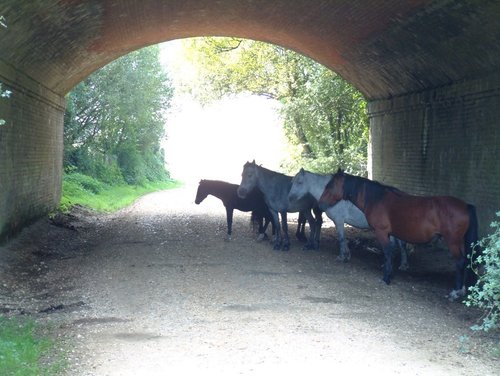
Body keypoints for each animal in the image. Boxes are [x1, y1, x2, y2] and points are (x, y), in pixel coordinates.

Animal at [318, 169, 478, 302]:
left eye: (330, 186)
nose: (320, 204)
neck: (377, 199)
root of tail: (466, 206)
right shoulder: (390, 234)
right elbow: (393, 251)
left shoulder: (382, 232)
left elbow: (387, 253)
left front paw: (386, 278)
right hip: (460, 242)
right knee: (465, 261)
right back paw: (462, 290)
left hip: (453, 242)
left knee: (460, 262)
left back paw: (455, 292)